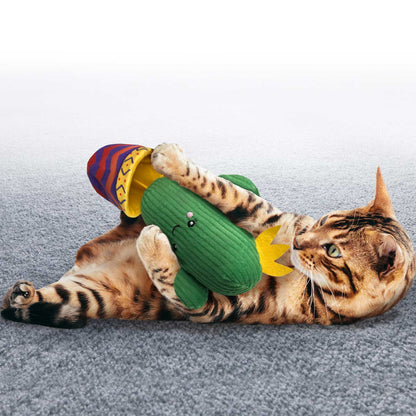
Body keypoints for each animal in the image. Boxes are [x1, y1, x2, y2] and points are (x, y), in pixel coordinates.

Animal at [2, 143, 415, 328]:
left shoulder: (218, 306)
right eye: (322, 221)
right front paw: (168, 161)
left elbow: (177, 280)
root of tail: (85, 257)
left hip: (91, 297)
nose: (299, 243)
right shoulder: (279, 221)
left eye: (333, 251)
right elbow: (231, 192)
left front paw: (155, 240)